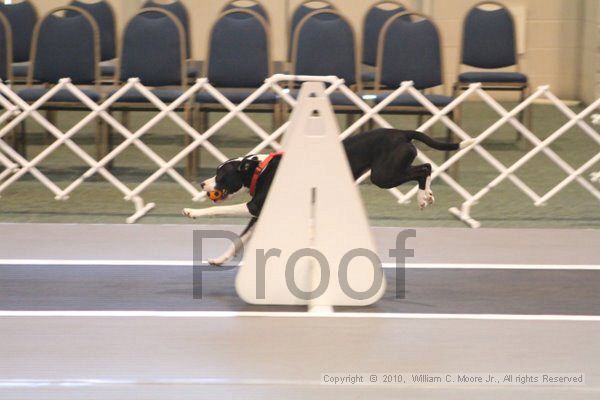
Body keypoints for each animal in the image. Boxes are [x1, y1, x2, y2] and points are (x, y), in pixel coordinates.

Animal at [183, 129, 474, 266]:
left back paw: (424, 196)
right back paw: (427, 195)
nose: (202, 183)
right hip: (389, 171)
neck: (259, 170)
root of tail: (402, 132)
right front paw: (220, 259)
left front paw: (192, 212)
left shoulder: (254, 205)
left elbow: (217, 211)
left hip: (383, 174)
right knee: (425, 166)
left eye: (221, 174)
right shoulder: (260, 211)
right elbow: (239, 240)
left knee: (425, 168)